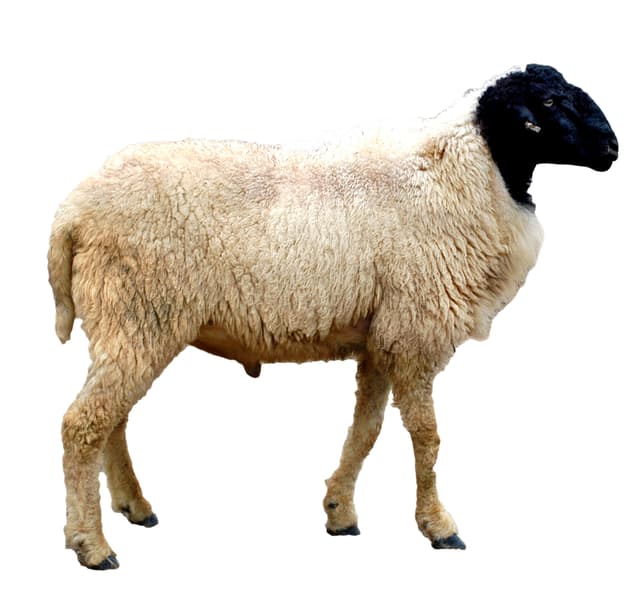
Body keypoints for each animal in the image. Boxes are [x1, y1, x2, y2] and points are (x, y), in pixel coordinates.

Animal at [48, 64, 618, 570]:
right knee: (84, 423)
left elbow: (366, 432)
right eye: (549, 102)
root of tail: (71, 213)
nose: (613, 149)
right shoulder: (414, 333)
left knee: (112, 417)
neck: (463, 174)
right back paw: (92, 545)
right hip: (139, 312)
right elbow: (428, 436)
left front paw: (340, 512)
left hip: (128, 322)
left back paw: (134, 506)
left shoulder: (381, 338)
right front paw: (438, 526)